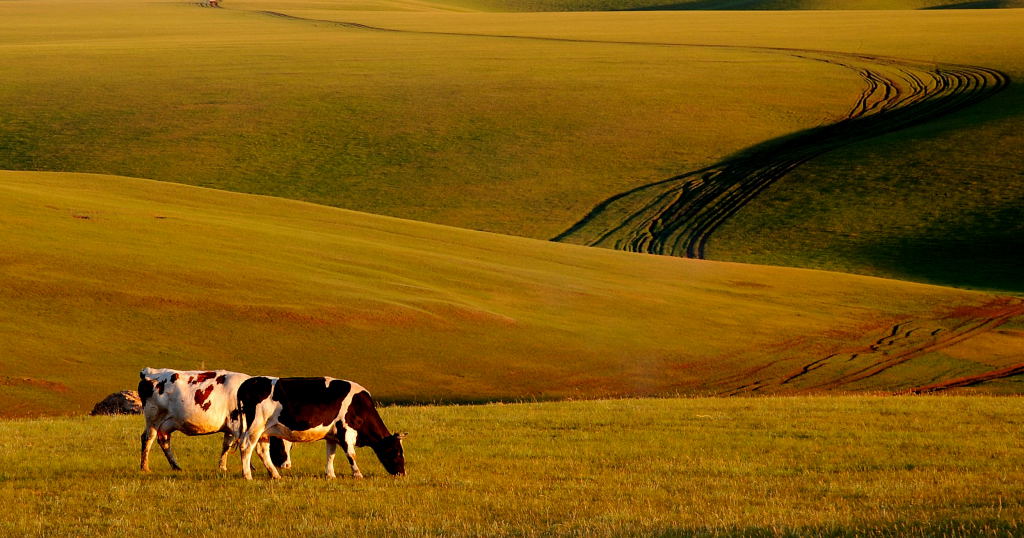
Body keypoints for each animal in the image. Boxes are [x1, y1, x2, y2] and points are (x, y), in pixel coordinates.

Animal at [137, 366, 292, 471]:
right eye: (279, 443)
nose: (287, 465)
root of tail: (150, 372)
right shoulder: (236, 424)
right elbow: (238, 444)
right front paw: (248, 466)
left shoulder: (231, 427)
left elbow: (227, 445)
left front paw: (223, 466)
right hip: (153, 418)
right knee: (147, 438)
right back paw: (145, 467)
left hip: (166, 423)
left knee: (164, 441)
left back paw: (176, 466)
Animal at [237, 375, 405, 479]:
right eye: (396, 451)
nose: (402, 473)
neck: (359, 406)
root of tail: (250, 382)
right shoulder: (345, 430)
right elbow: (351, 454)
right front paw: (358, 474)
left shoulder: (332, 435)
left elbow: (331, 454)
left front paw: (330, 475)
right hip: (255, 426)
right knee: (246, 447)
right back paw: (247, 475)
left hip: (264, 431)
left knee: (262, 451)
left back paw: (275, 475)